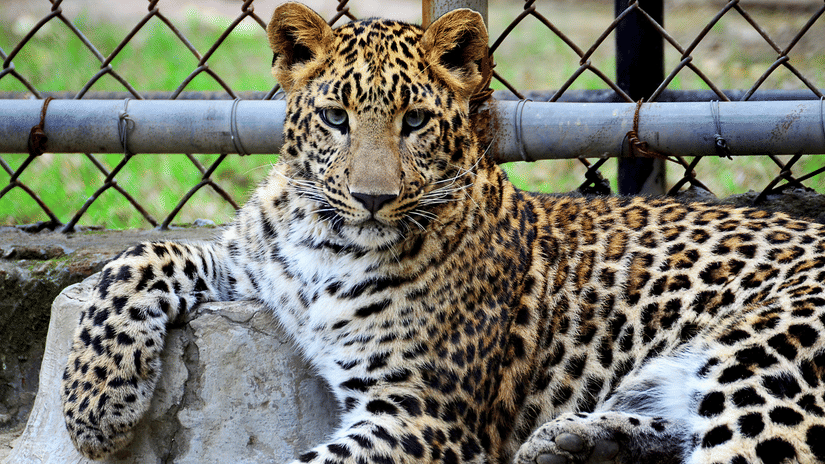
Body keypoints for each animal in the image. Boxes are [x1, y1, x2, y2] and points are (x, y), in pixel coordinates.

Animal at [60, 3, 825, 463]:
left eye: (416, 121)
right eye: (335, 118)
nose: (372, 200)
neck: (328, 240)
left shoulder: (423, 416)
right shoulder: (251, 260)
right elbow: (139, 255)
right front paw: (95, 405)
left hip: (766, 357)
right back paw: (579, 441)